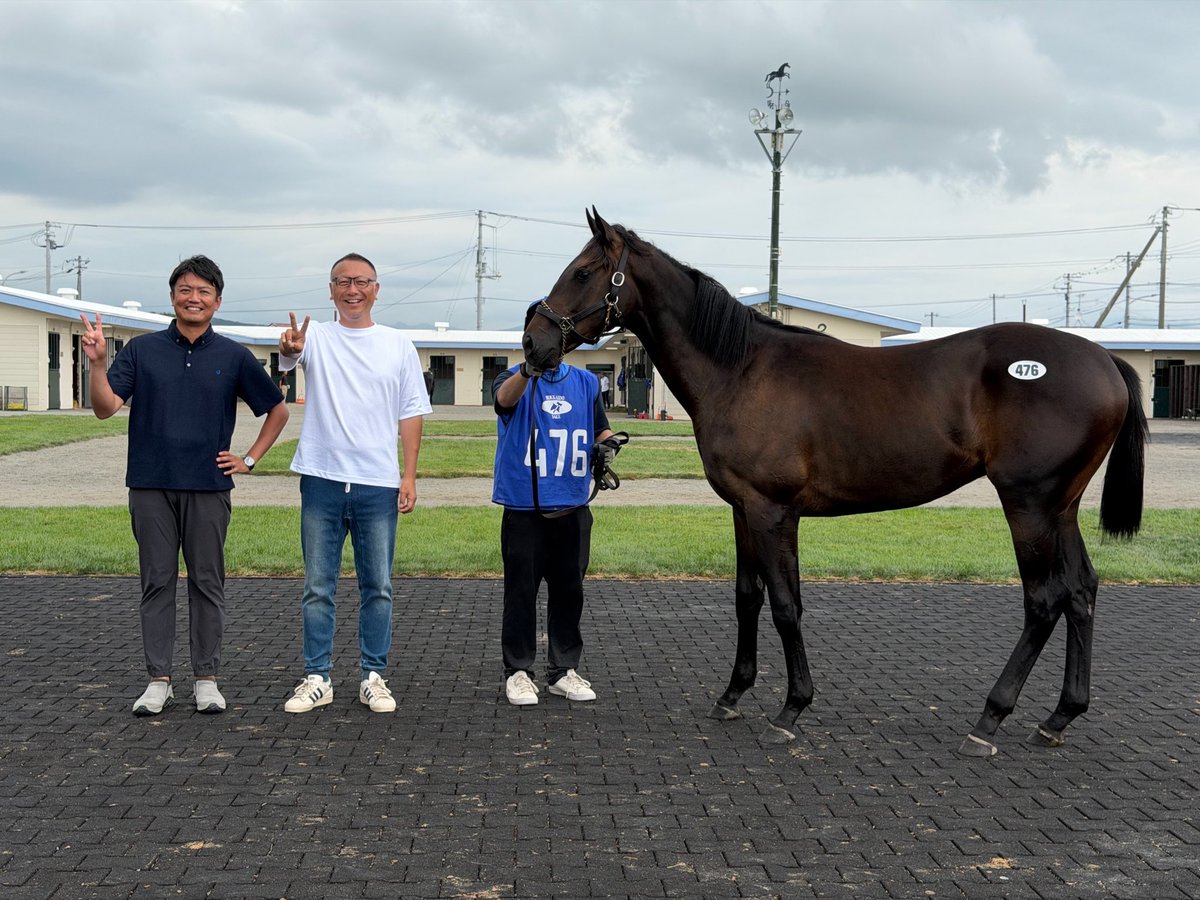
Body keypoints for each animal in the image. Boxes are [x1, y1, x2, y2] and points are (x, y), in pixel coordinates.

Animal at [524, 209, 1148, 757]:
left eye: (583, 272)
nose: (533, 343)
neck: (740, 369)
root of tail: (1105, 361)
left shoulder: (773, 510)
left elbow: (785, 605)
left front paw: (791, 708)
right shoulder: (743, 509)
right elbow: (747, 597)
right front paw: (733, 694)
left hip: (1029, 505)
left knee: (1044, 601)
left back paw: (989, 720)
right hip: (1061, 508)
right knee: (1082, 591)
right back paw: (1058, 717)